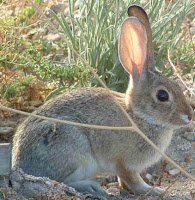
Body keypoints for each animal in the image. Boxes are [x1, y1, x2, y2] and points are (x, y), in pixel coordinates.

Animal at [11, 4, 193, 197]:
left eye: (177, 85)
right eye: (162, 96)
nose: (189, 116)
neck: (138, 115)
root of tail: (17, 166)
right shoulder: (125, 163)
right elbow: (134, 181)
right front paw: (154, 190)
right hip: (75, 150)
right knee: (61, 182)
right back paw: (92, 187)